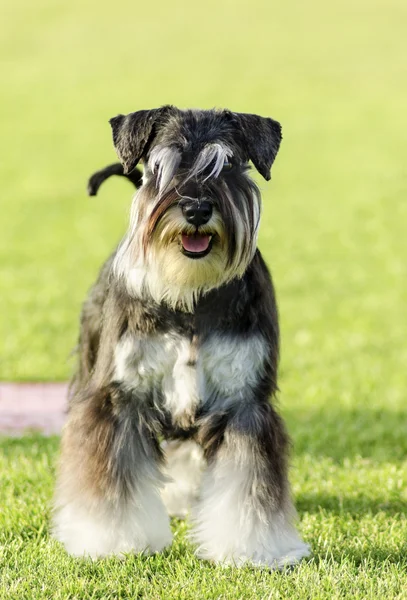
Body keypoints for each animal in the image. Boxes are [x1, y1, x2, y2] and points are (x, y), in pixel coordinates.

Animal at [52, 106, 310, 568]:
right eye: (160, 168)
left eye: (228, 165)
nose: (196, 209)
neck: (191, 293)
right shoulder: (117, 398)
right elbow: (109, 476)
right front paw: (110, 541)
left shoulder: (245, 403)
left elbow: (249, 486)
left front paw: (254, 549)